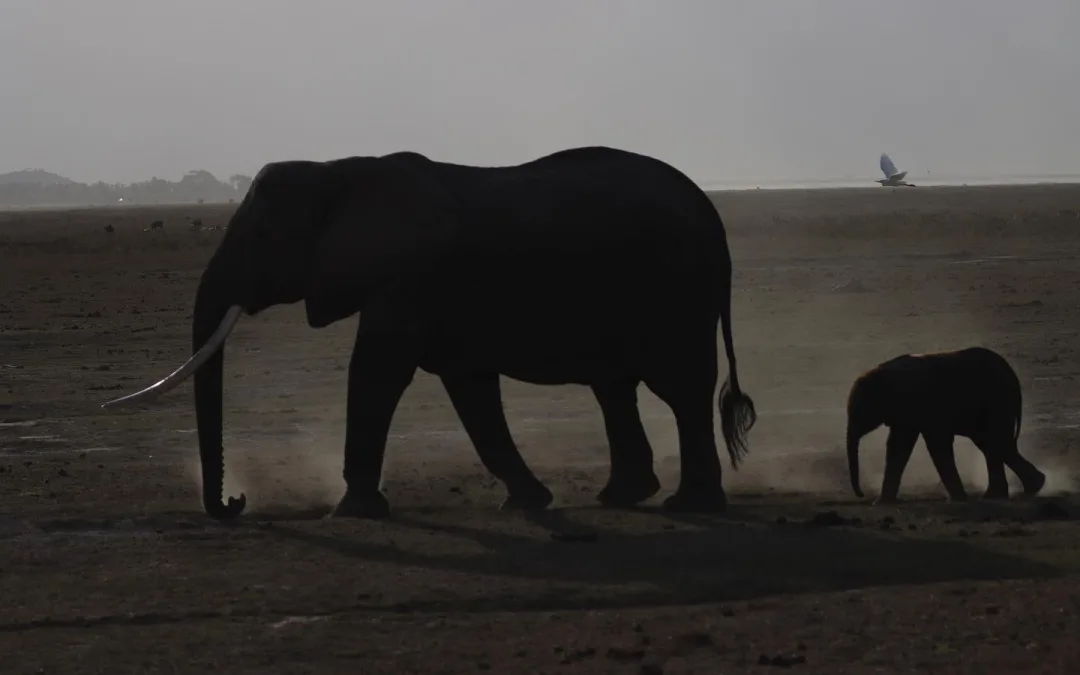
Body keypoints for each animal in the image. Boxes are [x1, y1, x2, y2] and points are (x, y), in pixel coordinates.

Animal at [102, 146, 757, 520]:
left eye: (263, 236)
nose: (236, 503)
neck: (340, 172)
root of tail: (714, 215)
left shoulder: (408, 277)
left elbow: (378, 371)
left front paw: (355, 511)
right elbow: (469, 387)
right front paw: (527, 502)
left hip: (676, 290)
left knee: (681, 389)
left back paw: (689, 506)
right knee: (615, 388)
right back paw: (623, 498)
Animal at [846, 346, 1046, 504]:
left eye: (858, 413)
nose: (861, 494)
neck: (881, 374)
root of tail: (1013, 376)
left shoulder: (923, 404)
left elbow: (936, 444)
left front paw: (958, 500)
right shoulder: (905, 411)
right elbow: (899, 446)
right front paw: (881, 503)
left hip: (998, 400)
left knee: (995, 441)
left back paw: (1027, 489)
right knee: (991, 444)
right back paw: (1008, 493)